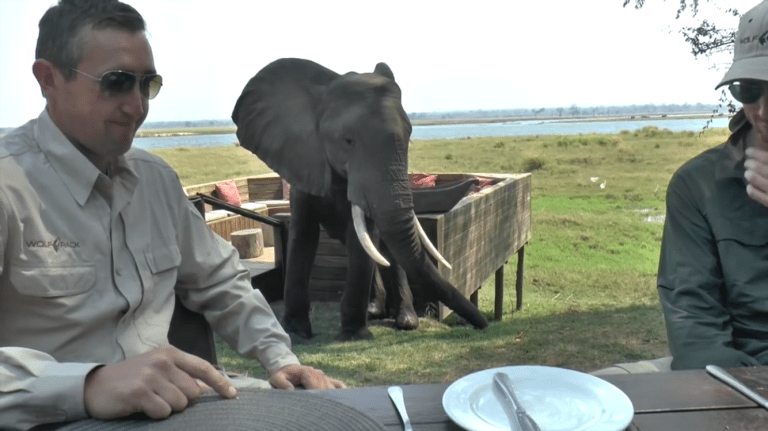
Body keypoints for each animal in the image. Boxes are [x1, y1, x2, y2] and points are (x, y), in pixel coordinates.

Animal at [232, 58, 488, 341]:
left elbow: (363, 240)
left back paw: (405, 320)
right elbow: (303, 235)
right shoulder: (303, 163)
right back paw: (375, 310)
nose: (484, 325)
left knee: (387, 250)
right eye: (348, 140)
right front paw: (297, 333)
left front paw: (353, 335)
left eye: (409, 136)